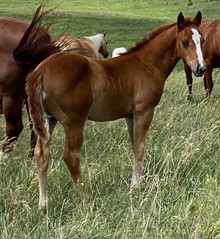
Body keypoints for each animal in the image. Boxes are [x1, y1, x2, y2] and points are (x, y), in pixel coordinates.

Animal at [26, 11, 206, 209]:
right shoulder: (144, 111)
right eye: (184, 41)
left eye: (202, 40)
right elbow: (140, 146)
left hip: (48, 120)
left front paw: (136, 180)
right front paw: (136, 185)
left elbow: (134, 145)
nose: (201, 68)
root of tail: (41, 69)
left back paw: (43, 203)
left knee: (41, 155)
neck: (147, 64)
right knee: (70, 156)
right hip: (74, 122)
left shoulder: (130, 115)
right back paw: (86, 197)